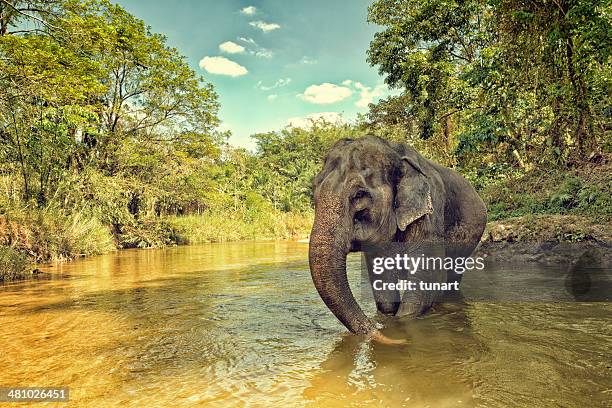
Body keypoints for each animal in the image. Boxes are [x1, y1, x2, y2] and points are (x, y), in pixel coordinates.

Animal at [308, 135, 486, 342]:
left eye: (359, 194)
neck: (394, 151)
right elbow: (383, 283)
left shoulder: (429, 214)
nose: (380, 330)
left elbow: (427, 280)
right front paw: (387, 319)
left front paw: (400, 326)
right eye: (314, 191)